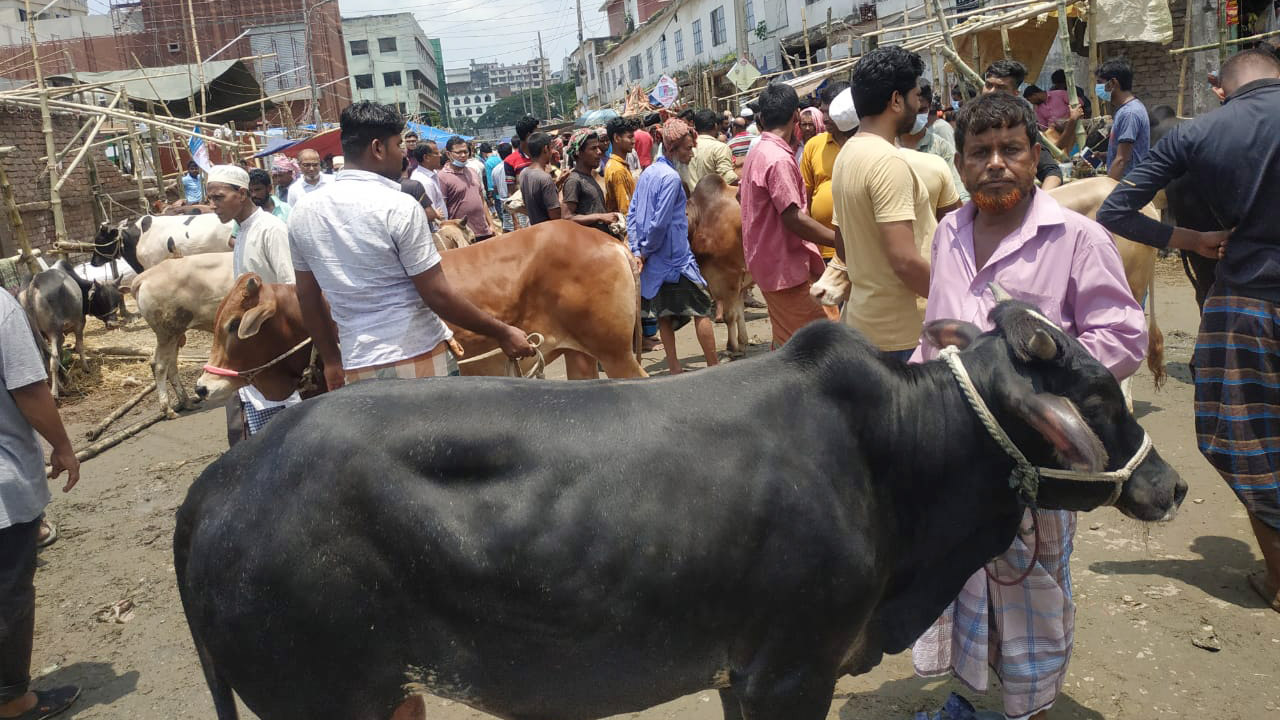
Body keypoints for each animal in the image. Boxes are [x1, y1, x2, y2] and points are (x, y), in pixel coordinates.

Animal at [175, 301, 1182, 717]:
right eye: (1097, 397)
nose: (1168, 485)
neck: (894, 452)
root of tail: (216, 484)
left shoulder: (746, 671)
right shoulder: (791, 672)